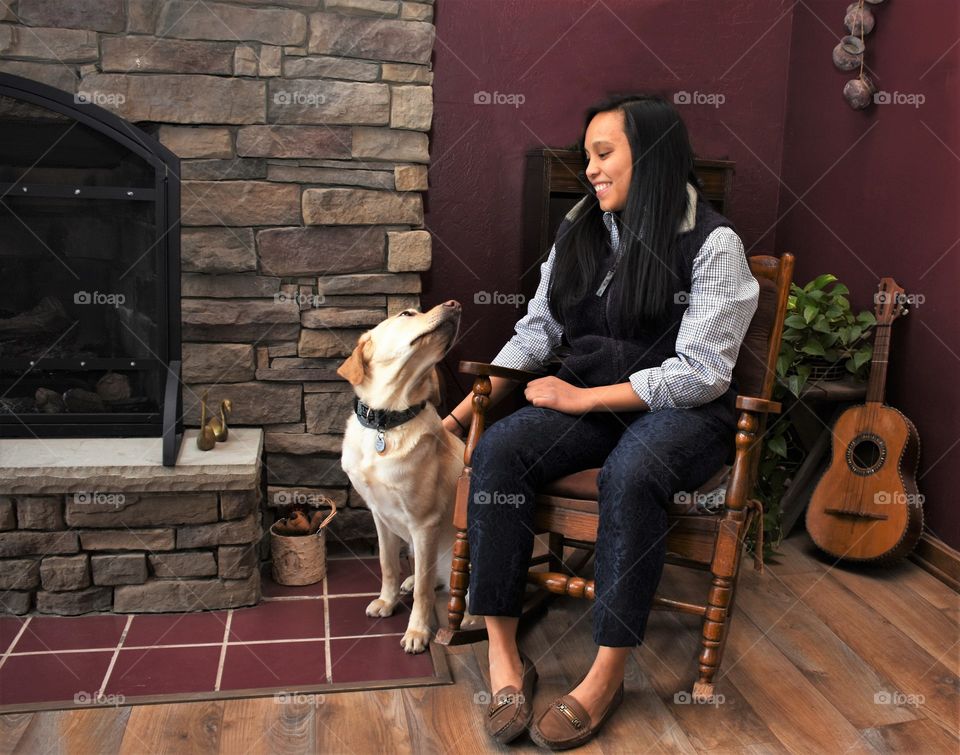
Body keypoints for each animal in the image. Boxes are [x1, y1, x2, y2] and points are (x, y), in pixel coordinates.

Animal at [338, 298, 468, 652]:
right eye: (406, 314)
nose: (455, 304)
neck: (387, 421)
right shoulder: (379, 515)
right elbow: (388, 564)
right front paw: (388, 600)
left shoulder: (424, 523)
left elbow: (424, 590)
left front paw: (418, 632)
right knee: (431, 576)